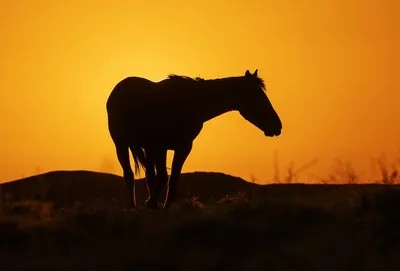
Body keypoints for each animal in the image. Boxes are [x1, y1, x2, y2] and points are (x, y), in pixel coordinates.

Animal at [106, 69, 282, 209]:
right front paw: (152, 204)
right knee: (129, 175)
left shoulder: (182, 147)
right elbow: (161, 177)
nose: (278, 126)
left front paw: (163, 207)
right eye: (258, 97)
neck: (192, 103)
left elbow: (172, 178)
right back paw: (133, 206)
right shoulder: (159, 146)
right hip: (121, 144)